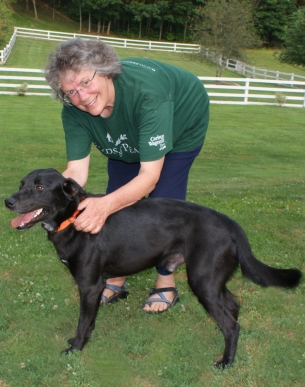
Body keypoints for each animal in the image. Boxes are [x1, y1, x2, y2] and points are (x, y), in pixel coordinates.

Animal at [4, 168, 302, 368]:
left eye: (40, 188)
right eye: (21, 183)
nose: (8, 201)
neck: (73, 217)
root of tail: (230, 223)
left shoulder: (89, 286)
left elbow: (82, 322)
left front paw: (76, 348)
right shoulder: (93, 289)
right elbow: (90, 321)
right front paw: (81, 341)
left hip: (202, 280)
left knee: (231, 324)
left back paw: (226, 361)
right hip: (212, 280)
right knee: (233, 307)